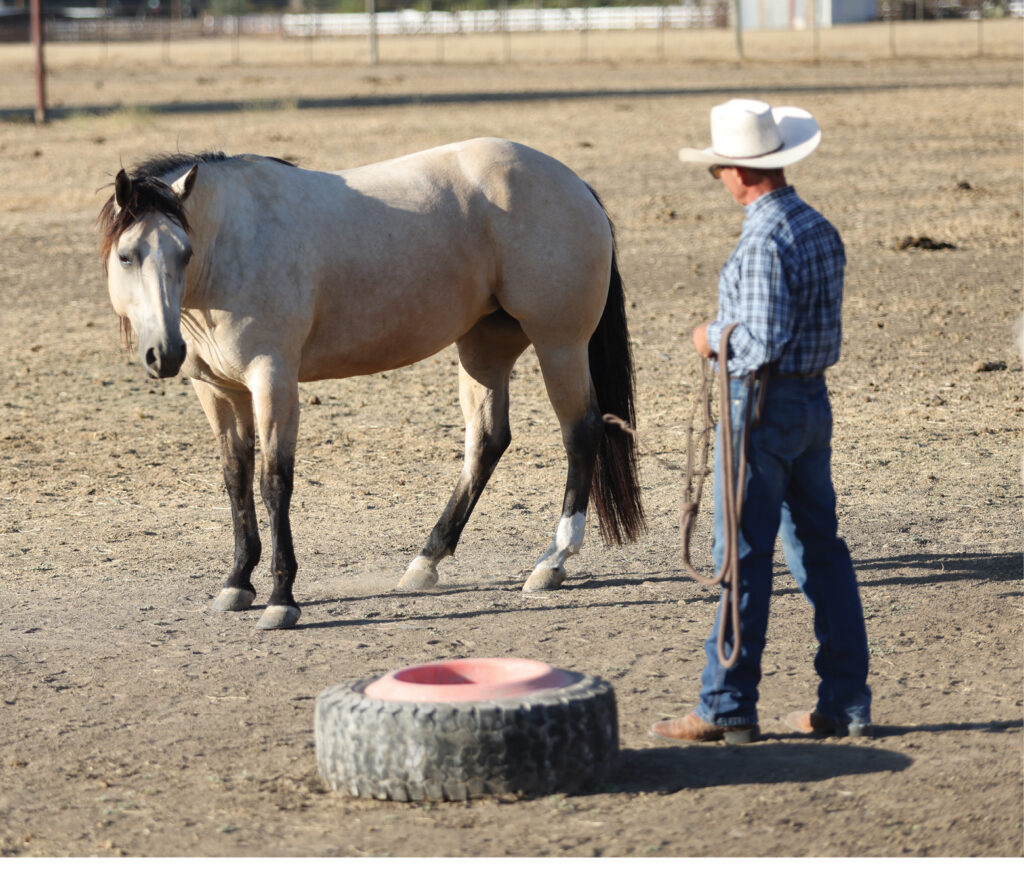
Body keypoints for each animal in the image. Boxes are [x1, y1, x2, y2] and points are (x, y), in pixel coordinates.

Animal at [98, 138, 645, 630]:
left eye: (184, 252)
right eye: (127, 256)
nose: (164, 353)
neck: (235, 241)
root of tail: (574, 183)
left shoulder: (273, 380)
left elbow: (274, 482)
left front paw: (281, 600)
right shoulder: (218, 391)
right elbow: (236, 479)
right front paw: (236, 584)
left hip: (560, 344)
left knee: (580, 433)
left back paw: (551, 562)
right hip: (484, 348)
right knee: (488, 440)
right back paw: (426, 561)